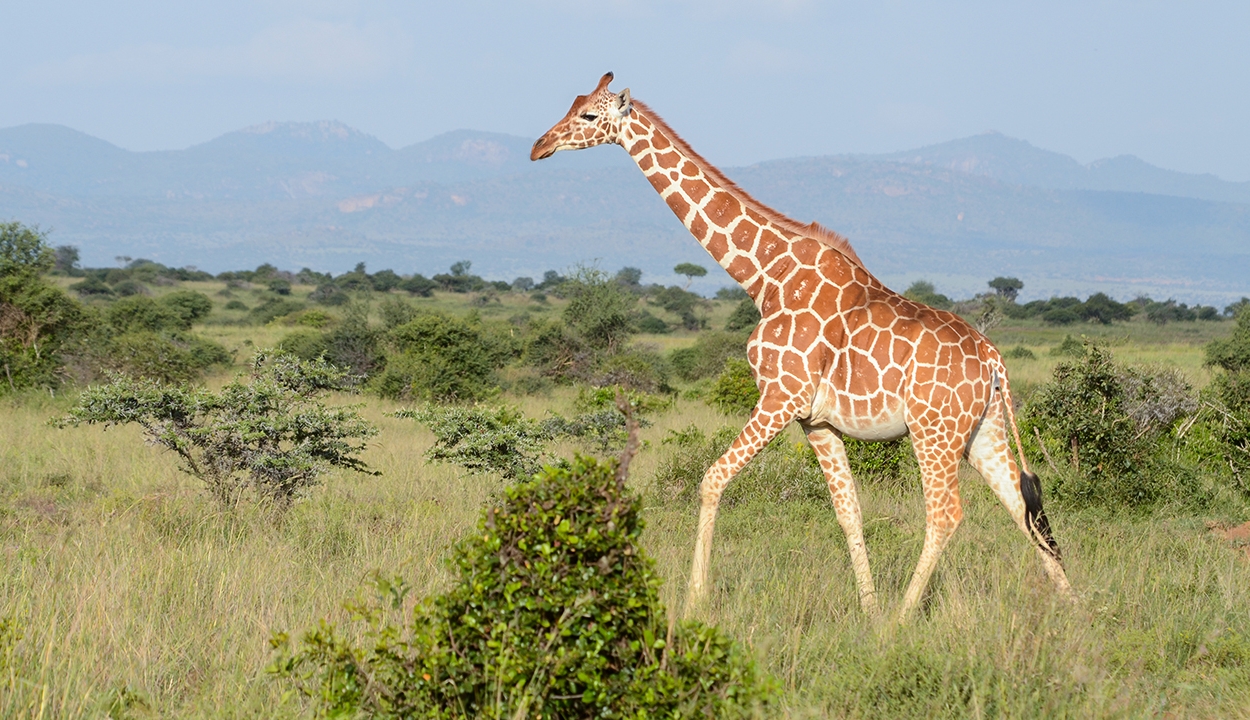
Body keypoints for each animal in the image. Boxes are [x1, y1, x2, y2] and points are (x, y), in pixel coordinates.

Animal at [530, 74, 1075, 625]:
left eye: (589, 117)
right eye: (571, 105)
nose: (539, 147)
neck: (764, 276)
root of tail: (994, 360)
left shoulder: (780, 397)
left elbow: (711, 480)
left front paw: (695, 598)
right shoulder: (815, 419)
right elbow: (849, 512)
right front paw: (868, 611)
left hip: (934, 431)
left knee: (947, 515)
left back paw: (904, 619)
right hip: (982, 429)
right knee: (1022, 506)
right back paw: (1077, 609)